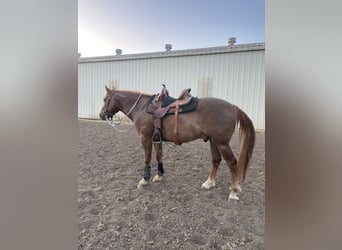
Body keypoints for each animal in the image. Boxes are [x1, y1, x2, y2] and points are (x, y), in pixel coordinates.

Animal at [98, 86, 254, 201]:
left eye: (105, 99)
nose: (101, 115)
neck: (143, 108)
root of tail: (232, 107)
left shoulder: (145, 138)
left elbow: (147, 158)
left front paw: (145, 179)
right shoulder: (156, 138)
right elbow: (159, 156)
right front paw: (159, 175)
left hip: (222, 143)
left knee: (232, 163)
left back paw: (233, 191)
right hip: (214, 141)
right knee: (216, 160)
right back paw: (209, 183)